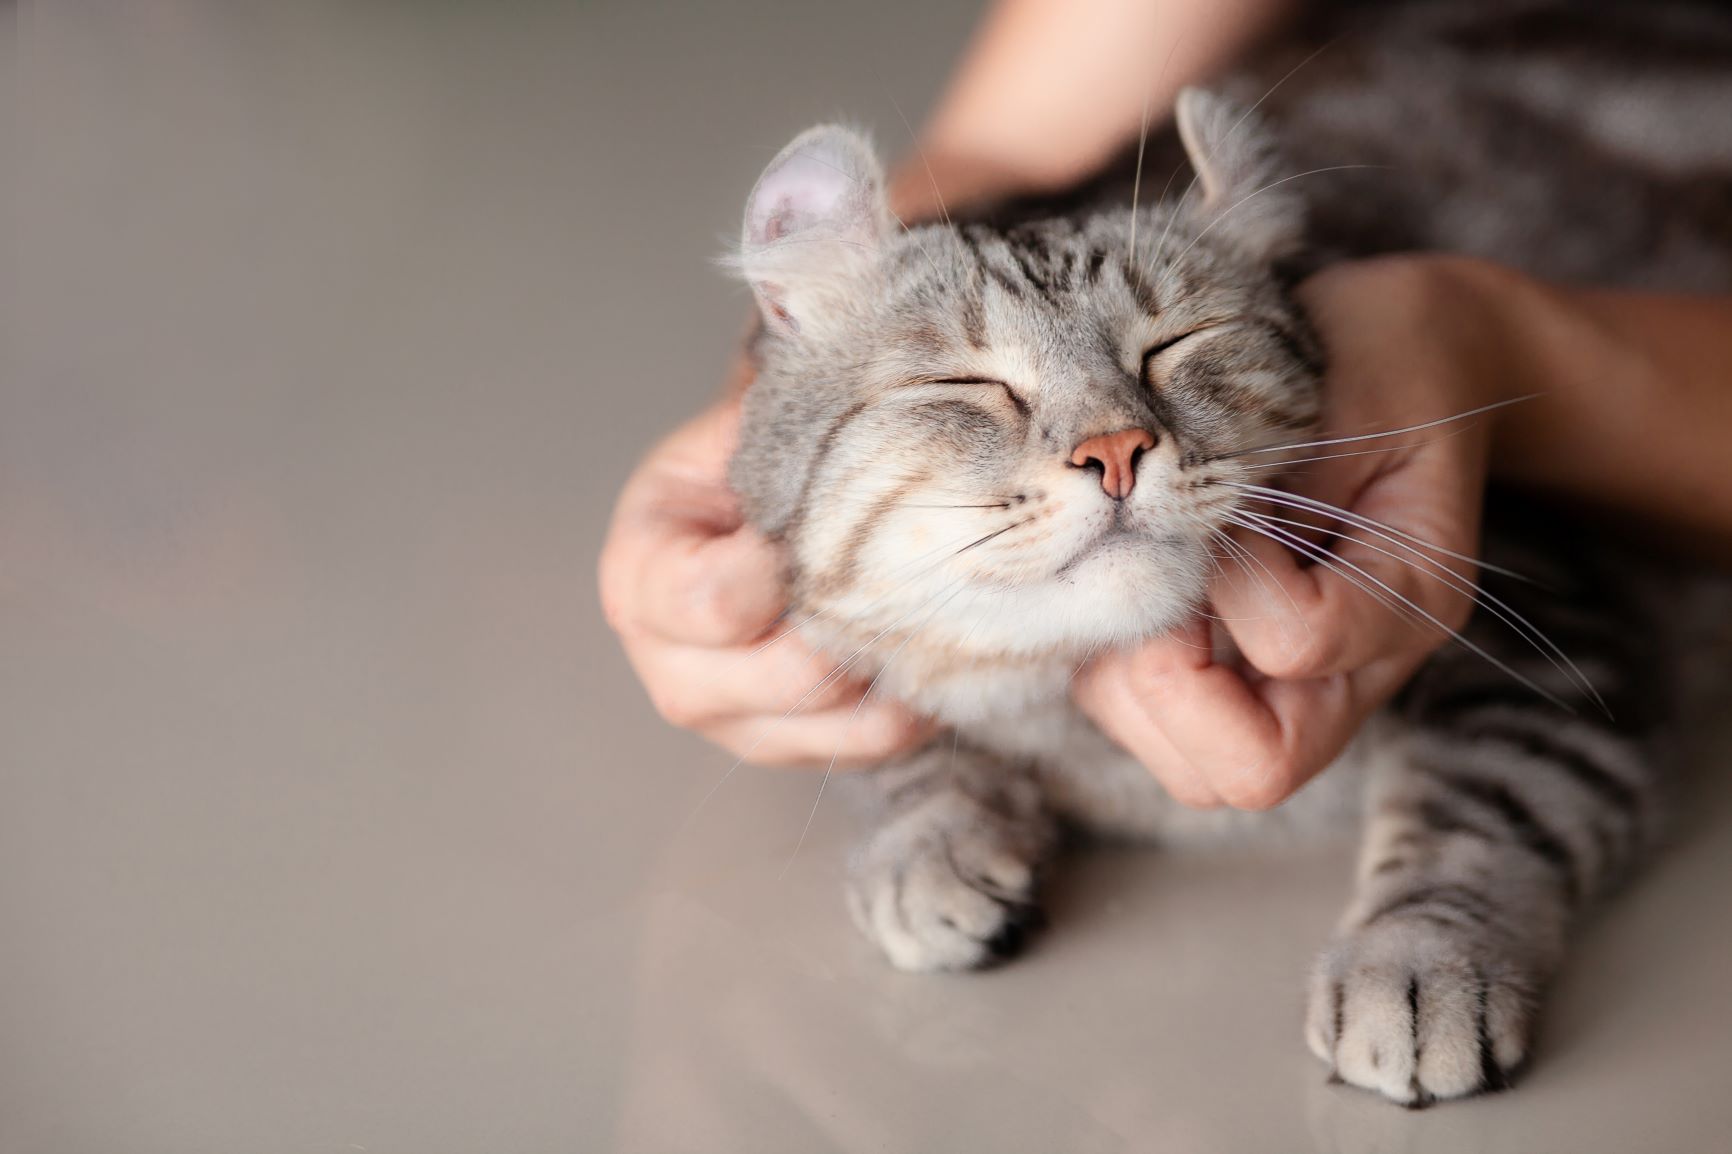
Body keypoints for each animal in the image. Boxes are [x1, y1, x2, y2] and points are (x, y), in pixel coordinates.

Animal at [717, 4, 1732, 1108]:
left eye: (1177, 344)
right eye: (969, 384)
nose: (1115, 448)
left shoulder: (1555, 630)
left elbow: (1480, 809)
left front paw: (1414, 963)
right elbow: (897, 744)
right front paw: (931, 839)